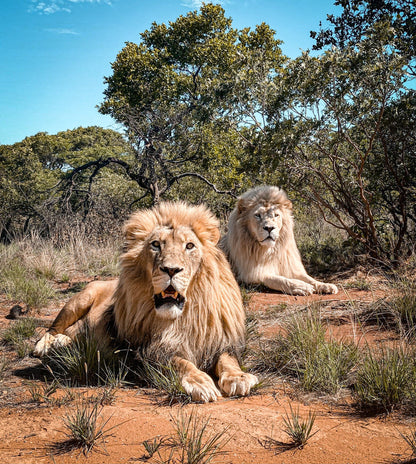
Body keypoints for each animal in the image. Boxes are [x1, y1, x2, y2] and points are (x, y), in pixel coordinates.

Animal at [35, 203, 256, 402]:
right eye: (156, 244)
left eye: (189, 246)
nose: (171, 270)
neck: (182, 319)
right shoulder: (142, 352)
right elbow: (179, 361)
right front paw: (199, 382)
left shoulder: (220, 342)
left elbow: (228, 360)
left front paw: (238, 378)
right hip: (80, 299)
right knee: (52, 328)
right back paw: (45, 346)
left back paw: (63, 341)